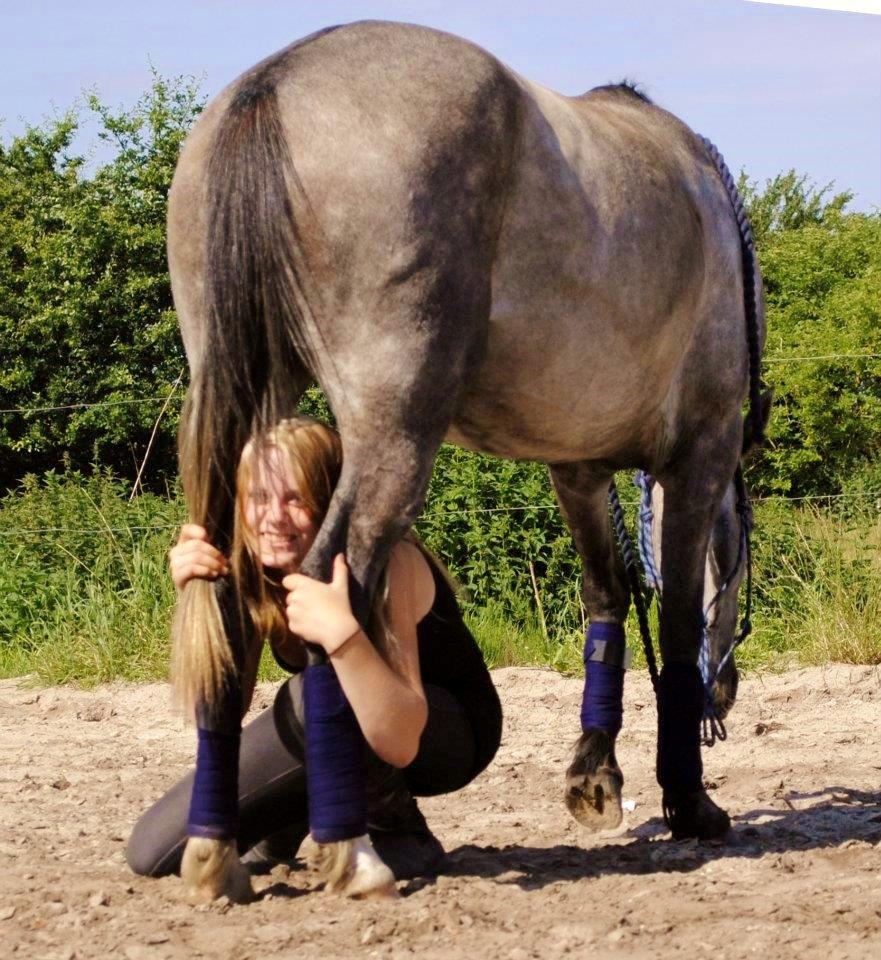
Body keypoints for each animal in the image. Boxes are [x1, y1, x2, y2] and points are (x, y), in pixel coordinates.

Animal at [165, 18, 764, 896]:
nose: (726, 695)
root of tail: (273, 84)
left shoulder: (575, 468)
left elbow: (605, 599)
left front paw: (594, 773)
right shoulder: (700, 452)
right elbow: (678, 610)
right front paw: (688, 799)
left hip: (243, 402)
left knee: (225, 597)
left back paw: (220, 851)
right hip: (391, 437)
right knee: (329, 594)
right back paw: (355, 846)